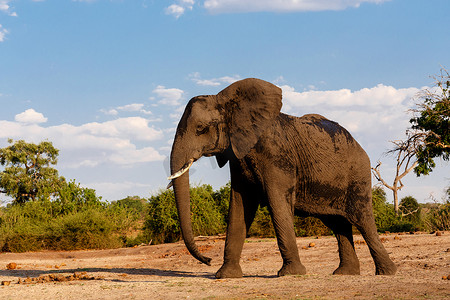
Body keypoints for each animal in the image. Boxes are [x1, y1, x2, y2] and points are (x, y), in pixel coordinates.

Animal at [168, 78, 398, 278]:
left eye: (201, 129)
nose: (207, 260)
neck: (229, 100)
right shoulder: (239, 155)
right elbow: (240, 205)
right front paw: (225, 276)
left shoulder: (276, 154)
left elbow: (277, 202)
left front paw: (291, 273)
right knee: (338, 223)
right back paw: (345, 274)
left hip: (358, 174)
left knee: (363, 220)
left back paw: (387, 273)